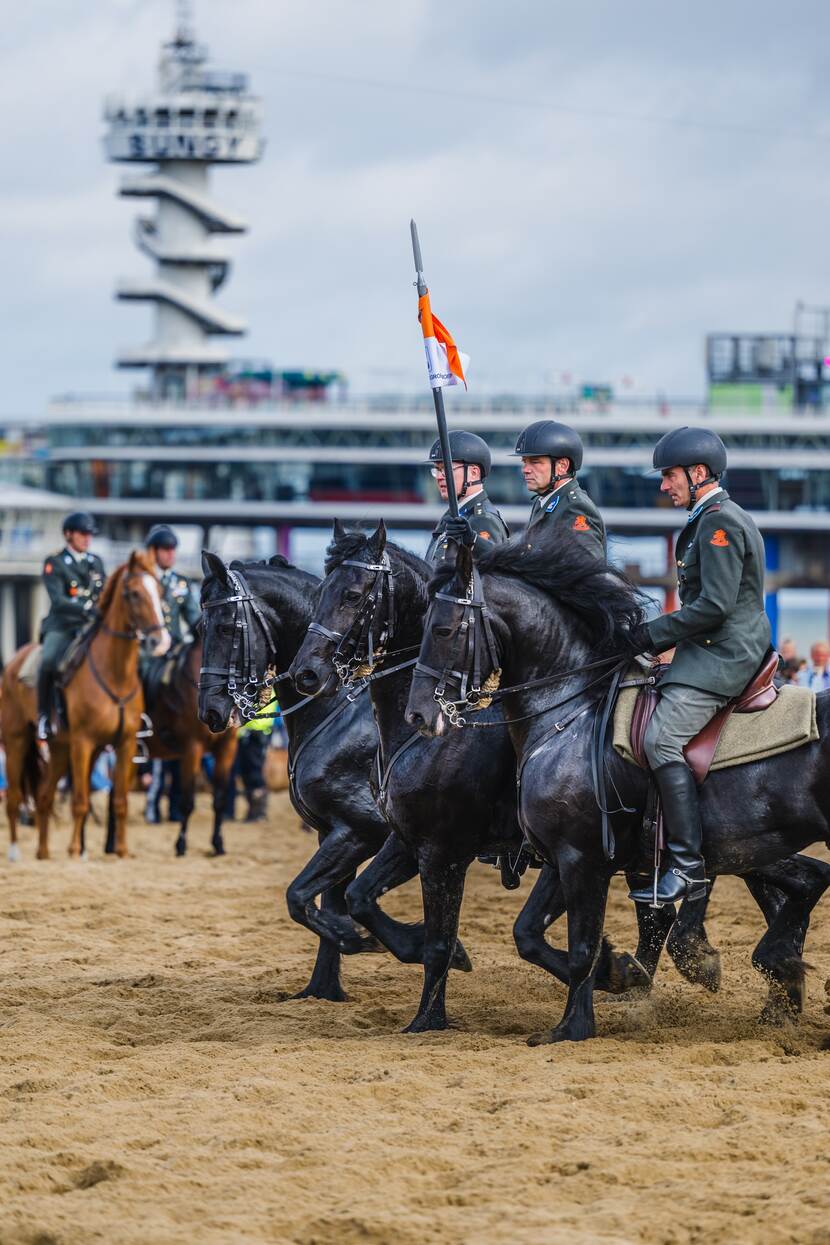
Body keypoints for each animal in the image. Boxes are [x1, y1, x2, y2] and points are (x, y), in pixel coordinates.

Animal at [1, 552, 170, 856]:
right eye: (134, 593)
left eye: (159, 592)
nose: (160, 641)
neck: (115, 673)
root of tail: (14, 661)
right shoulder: (83, 743)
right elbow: (80, 801)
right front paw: (74, 851)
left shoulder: (124, 744)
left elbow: (120, 801)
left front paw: (121, 852)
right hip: (16, 741)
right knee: (15, 799)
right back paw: (15, 851)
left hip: (58, 747)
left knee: (44, 796)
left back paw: (43, 853)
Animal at [197, 555, 472, 1000]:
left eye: (224, 627)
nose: (211, 711)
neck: (336, 712)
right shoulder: (332, 833)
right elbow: (323, 902)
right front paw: (322, 989)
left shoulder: (361, 831)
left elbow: (300, 897)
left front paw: (359, 938)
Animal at [408, 530, 830, 1045]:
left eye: (444, 630)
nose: (419, 715)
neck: (569, 713)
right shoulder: (566, 859)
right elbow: (537, 935)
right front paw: (620, 977)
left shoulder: (579, 858)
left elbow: (581, 946)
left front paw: (574, 1026)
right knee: (806, 883)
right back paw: (777, 978)